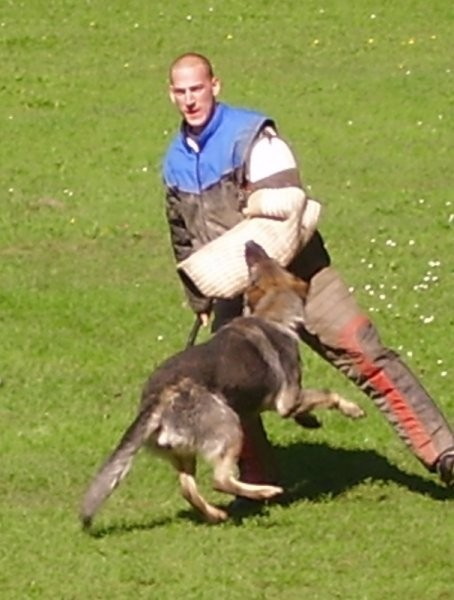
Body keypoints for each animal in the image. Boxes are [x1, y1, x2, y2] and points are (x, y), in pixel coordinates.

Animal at [80, 241, 366, 528]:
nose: (250, 244)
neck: (272, 315)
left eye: (266, 261)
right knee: (220, 480)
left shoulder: (287, 400)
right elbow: (328, 394)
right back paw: (264, 491)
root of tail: (157, 400)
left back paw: (216, 514)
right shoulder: (288, 397)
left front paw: (309, 420)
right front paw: (352, 409)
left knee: (187, 488)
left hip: (183, 453)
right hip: (229, 426)